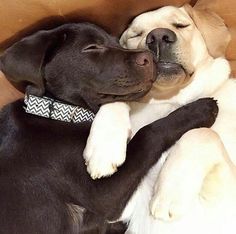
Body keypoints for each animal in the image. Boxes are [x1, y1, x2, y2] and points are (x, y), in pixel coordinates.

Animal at [0, 22, 218, 234]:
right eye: (91, 47)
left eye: (117, 42)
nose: (150, 57)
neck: (56, 112)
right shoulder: (103, 195)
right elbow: (148, 133)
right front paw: (199, 109)